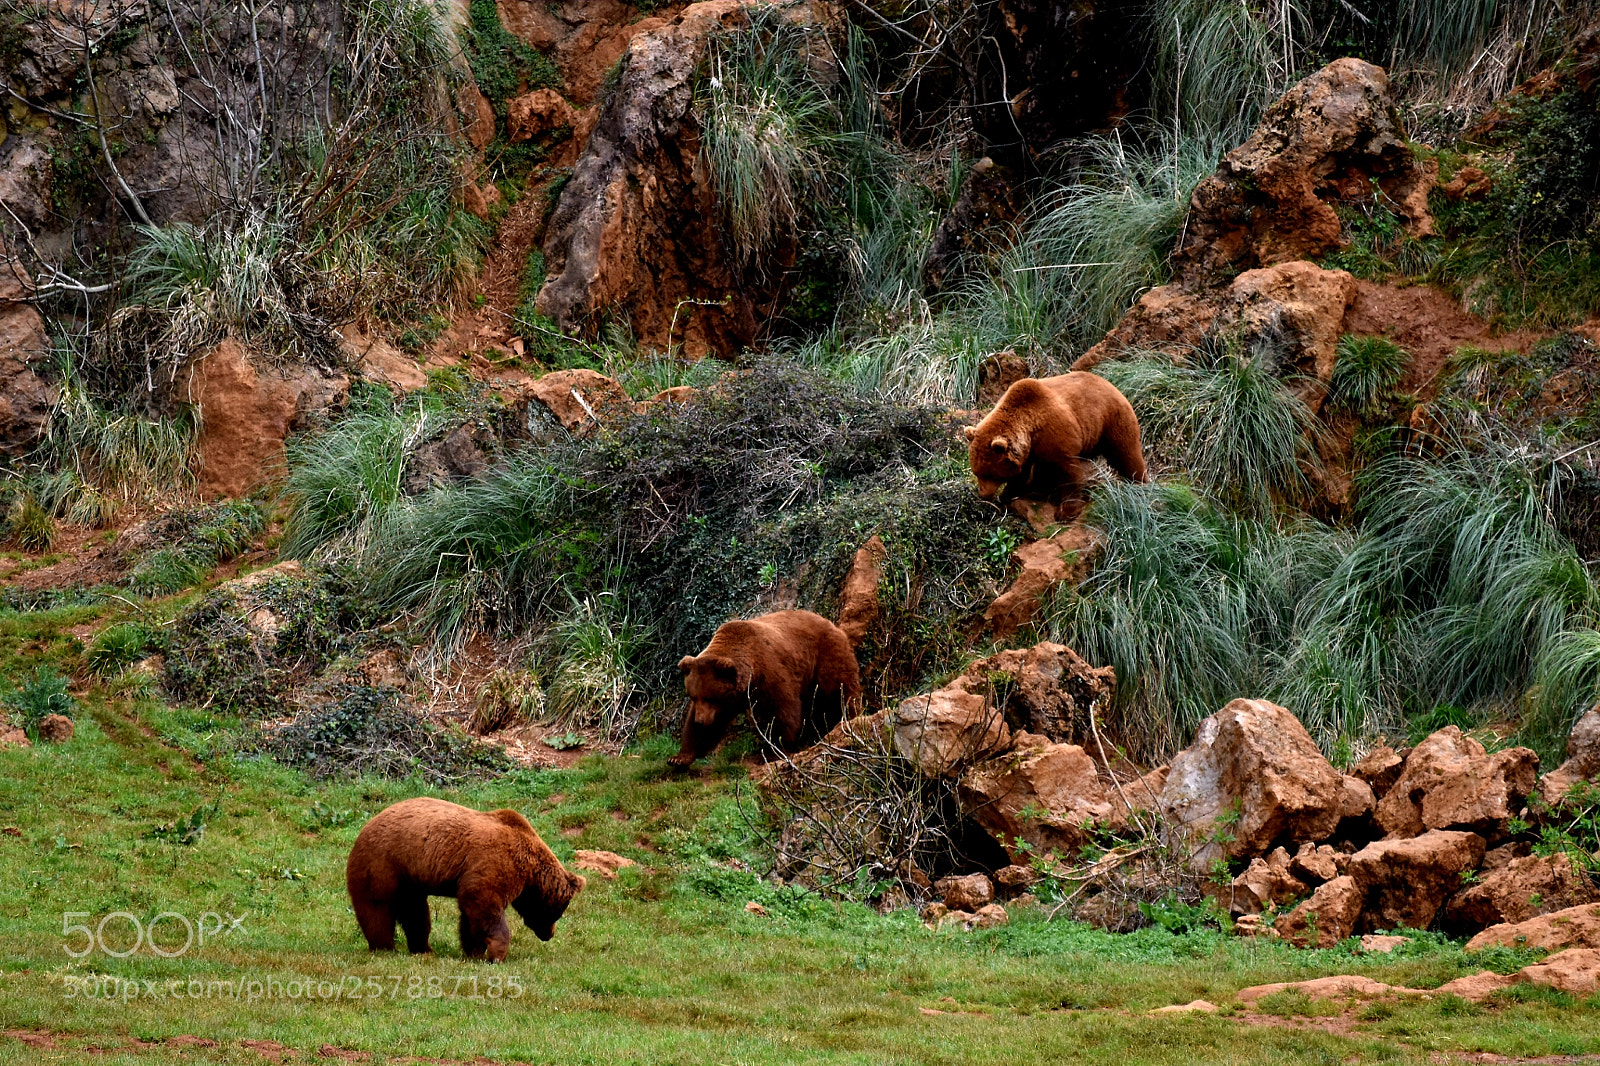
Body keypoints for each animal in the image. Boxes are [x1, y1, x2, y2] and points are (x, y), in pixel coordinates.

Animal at [346, 797, 584, 962]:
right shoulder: (496, 863)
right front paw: (496, 954)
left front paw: (474, 951)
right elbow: (483, 904)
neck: (530, 871)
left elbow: (471, 916)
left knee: (416, 913)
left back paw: (423, 949)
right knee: (377, 908)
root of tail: (365, 827)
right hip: (383, 863)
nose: (549, 934)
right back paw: (384, 947)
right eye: (559, 912)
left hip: (410, 878)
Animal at [669, 609, 861, 769]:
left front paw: (773, 751)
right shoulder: (730, 700)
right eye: (693, 696)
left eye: (710, 697)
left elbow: (783, 712)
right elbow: (708, 728)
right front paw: (678, 758)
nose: (700, 720)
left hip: (825, 656)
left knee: (839, 690)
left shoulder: (769, 675)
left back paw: (848, 720)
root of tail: (830, 623)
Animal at [963, 371, 1147, 522]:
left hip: (1112, 421)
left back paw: (1139, 484)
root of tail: (1112, 384)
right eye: (976, 472)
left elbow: (1069, 473)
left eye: (990, 474)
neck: (1030, 430)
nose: (984, 494)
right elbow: (1022, 474)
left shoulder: (1056, 434)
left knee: (1126, 453)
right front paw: (1008, 494)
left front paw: (1065, 512)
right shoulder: (1029, 450)